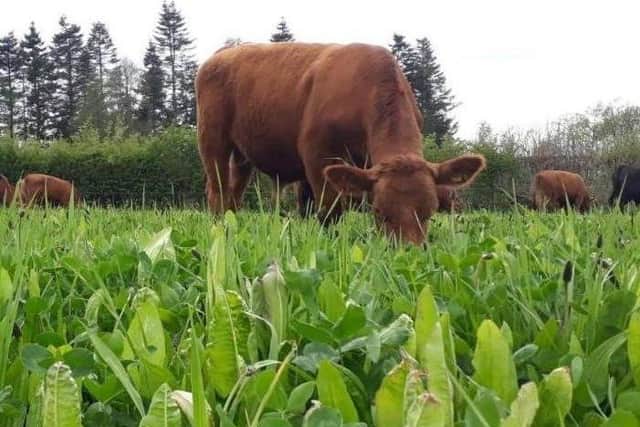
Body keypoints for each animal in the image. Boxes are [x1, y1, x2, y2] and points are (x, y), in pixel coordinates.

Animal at [195, 42, 486, 244]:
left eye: (429, 212)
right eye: (379, 212)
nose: (408, 250)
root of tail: (223, 53)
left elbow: (308, 209)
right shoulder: (317, 156)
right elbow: (329, 211)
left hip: (242, 156)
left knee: (233, 197)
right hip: (212, 140)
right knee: (217, 192)